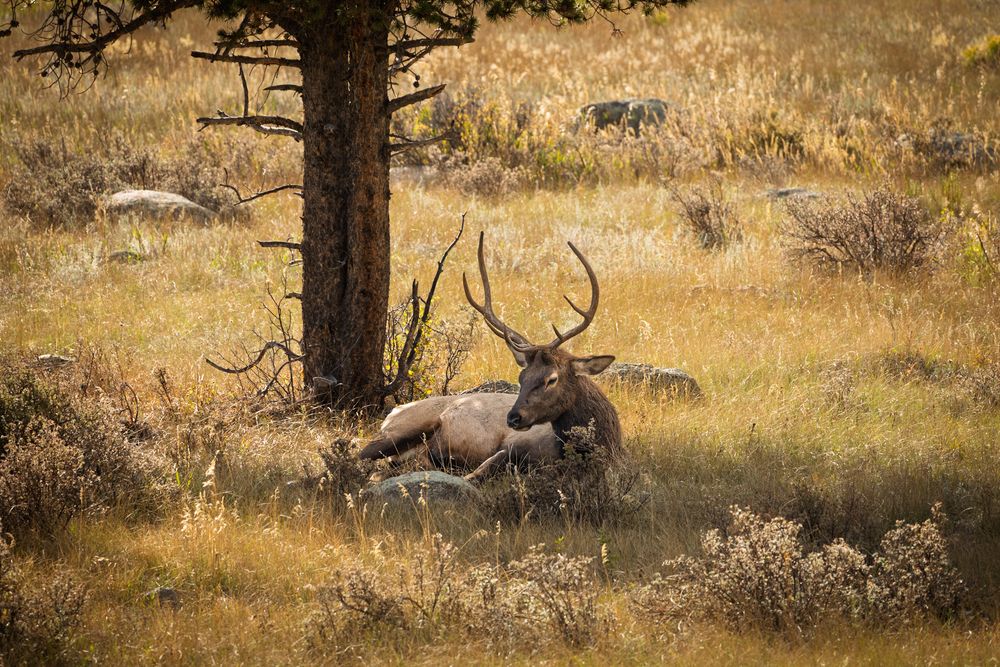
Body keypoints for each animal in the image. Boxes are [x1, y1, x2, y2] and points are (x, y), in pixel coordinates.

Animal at [358, 232, 621, 482]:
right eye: (521, 377)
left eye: (552, 379)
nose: (513, 418)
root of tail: (394, 411)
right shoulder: (514, 444)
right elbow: (480, 472)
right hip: (405, 428)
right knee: (365, 454)